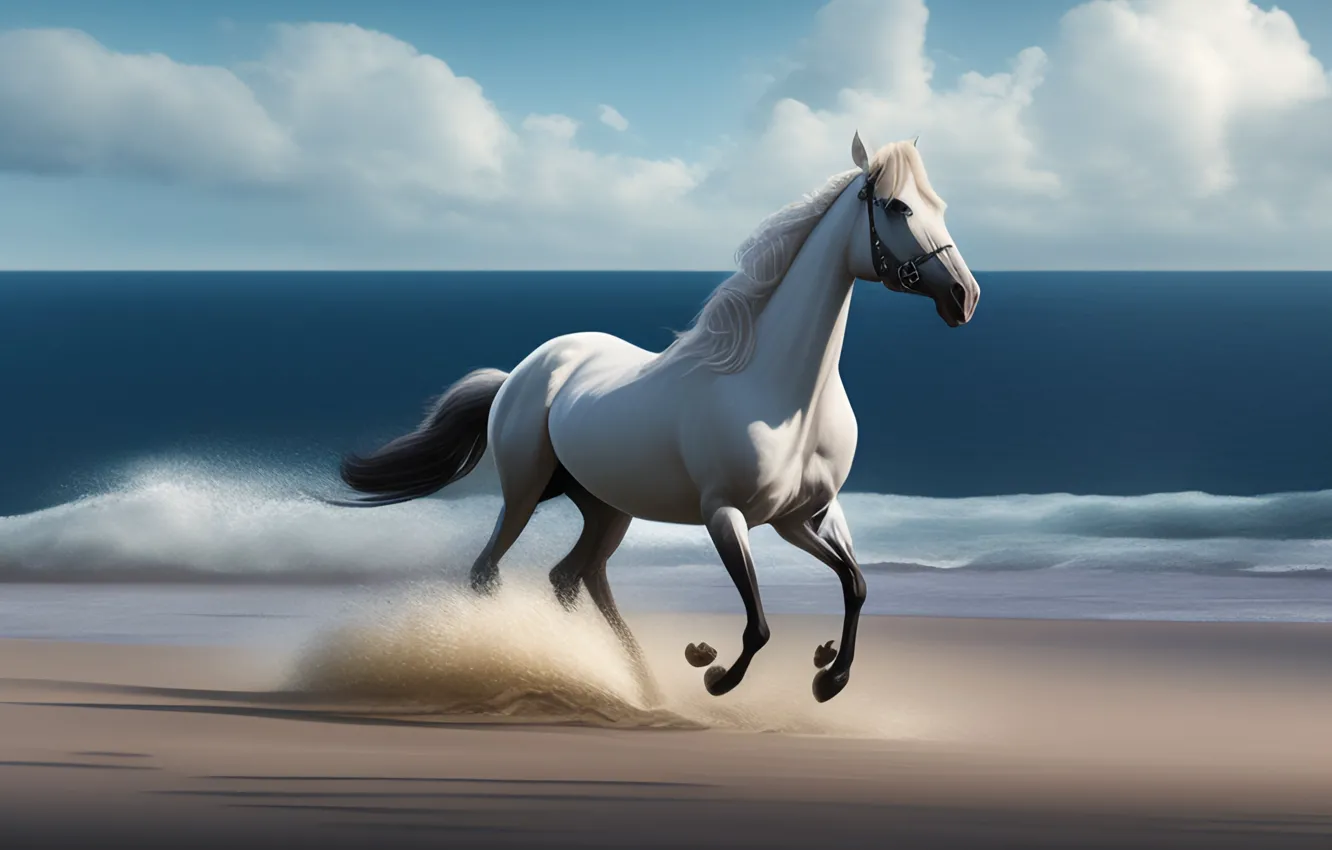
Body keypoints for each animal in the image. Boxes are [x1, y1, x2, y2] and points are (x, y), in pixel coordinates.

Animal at [327, 132, 980, 704]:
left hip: (606, 505)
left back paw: (637, 684)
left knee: (574, 577)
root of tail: (521, 371)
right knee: (489, 571)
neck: (783, 395)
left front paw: (828, 676)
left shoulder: (804, 516)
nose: (964, 297)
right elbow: (759, 624)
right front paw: (714, 673)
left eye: (940, 205)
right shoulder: (726, 515)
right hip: (525, 489)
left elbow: (856, 585)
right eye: (896, 206)